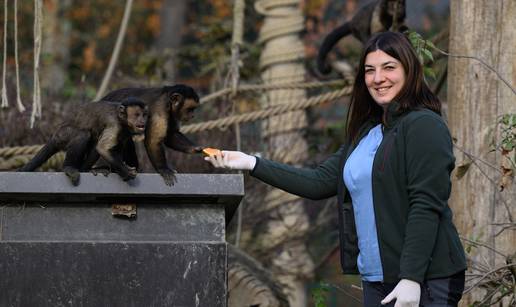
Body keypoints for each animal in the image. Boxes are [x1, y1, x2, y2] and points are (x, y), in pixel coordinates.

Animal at [18, 97, 147, 186]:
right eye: (137, 115)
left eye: (143, 115)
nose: (142, 120)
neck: (122, 121)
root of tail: (54, 135)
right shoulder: (115, 124)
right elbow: (102, 149)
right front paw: (126, 172)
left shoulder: (125, 132)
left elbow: (116, 148)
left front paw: (119, 170)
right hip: (62, 135)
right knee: (83, 135)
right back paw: (69, 168)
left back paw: (84, 169)